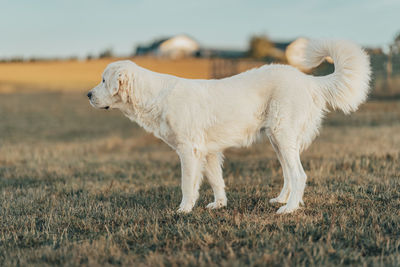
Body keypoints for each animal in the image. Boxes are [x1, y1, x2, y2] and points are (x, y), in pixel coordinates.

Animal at [88, 38, 372, 215]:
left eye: (103, 80)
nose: (88, 95)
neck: (155, 95)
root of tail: (308, 80)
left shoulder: (189, 152)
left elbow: (187, 185)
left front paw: (183, 210)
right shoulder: (209, 152)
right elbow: (216, 181)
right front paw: (219, 205)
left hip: (282, 135)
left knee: (299, 175)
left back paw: (288, 209)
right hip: (278, 141)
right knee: (289, 175)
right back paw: (282, 199)